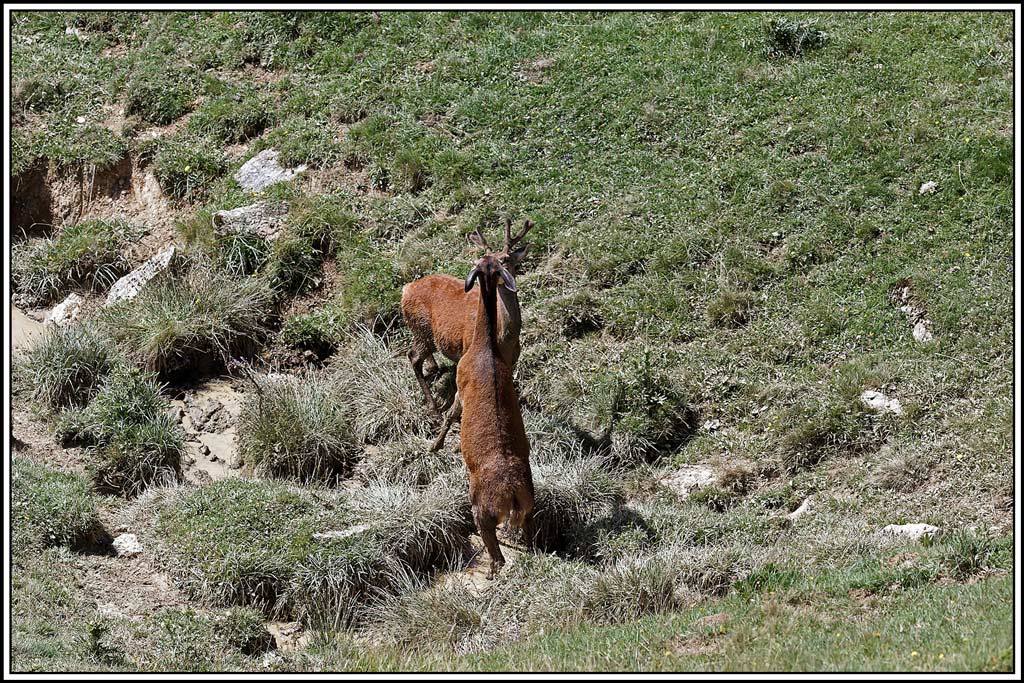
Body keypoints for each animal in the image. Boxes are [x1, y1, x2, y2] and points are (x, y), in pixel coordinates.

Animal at [400, 217, 533, 452]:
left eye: (506, 258)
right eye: (485, 259)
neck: (504, 339)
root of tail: (405, 290)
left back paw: (434, 368)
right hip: (422, 328)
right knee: (413, 356)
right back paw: (434, 411)